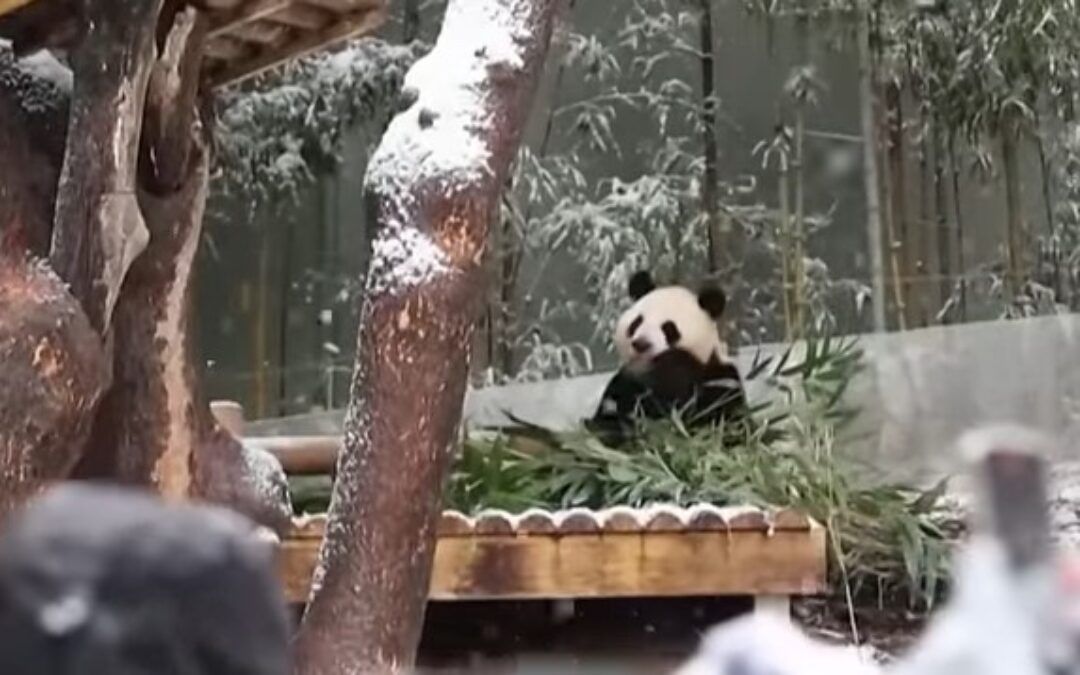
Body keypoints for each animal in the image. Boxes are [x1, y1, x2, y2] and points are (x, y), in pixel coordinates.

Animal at [588, 270, 751, 444]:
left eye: (669, 328)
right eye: (637, 322)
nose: (641, 344)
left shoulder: (720, 380)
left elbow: (715, 420)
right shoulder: (624, 383)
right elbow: (613, 415)